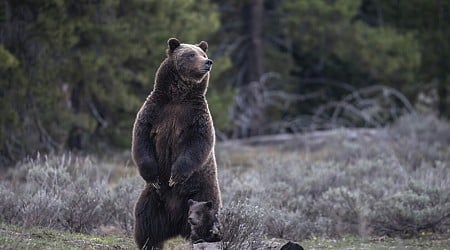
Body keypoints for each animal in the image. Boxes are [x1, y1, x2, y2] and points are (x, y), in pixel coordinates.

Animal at [130, 37, 221, 250]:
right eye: (191, 54)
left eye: (203, 53)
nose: (208, 62)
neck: (178, 96)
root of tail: (176, 222)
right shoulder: (155, 111)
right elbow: (141, 140)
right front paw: (155, 176)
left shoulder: (195, 117)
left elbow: (198, 144)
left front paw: (175, 176)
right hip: (153, 199)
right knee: (145, 221)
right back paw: (149, 244)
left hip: (204, 192)